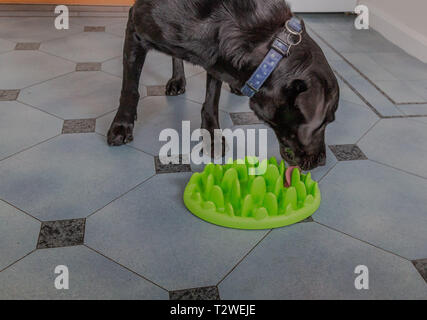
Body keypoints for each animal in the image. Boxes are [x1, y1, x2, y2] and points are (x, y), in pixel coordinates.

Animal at [108, 0, 342, 171]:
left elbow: (212, 98)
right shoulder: (136, 26)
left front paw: (212, 136)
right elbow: (130, 88)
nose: (322, 161)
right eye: (324, 122)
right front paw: (122, 125)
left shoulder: (214, 57)